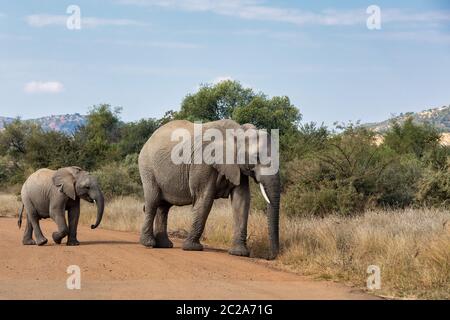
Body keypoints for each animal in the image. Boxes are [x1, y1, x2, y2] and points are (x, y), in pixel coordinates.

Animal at [139, 119, 280, 258]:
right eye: (256, 157)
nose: (269, 256)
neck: (237, 132)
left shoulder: (238, 167)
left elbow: (241, 200)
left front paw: (239, 253)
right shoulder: (202, 163)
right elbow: (204, 198)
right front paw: (192, 248)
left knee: (164, 207)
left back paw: (164, 245)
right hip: (147, 168)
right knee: (153, 201)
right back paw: (148, 243)